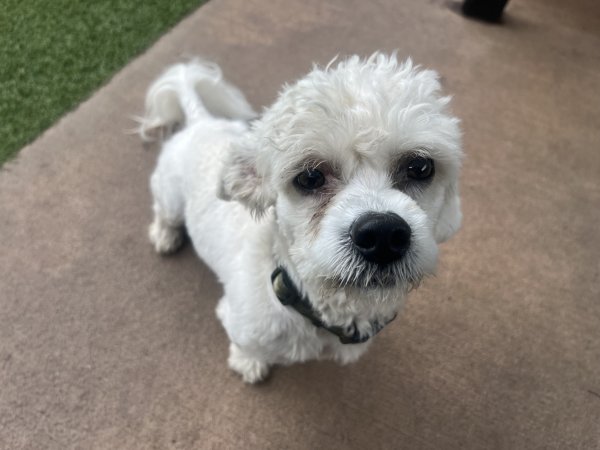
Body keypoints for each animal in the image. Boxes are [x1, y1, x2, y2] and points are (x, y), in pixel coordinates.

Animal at [138, 52, 462, 384]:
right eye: (309, 177)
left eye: (420, 167)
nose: (383, 235)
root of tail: (200, 120)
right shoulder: (238, 322)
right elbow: (245, 347)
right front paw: (248, 363)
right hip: (169, 197)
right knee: (164, 214)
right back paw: (164, 235)